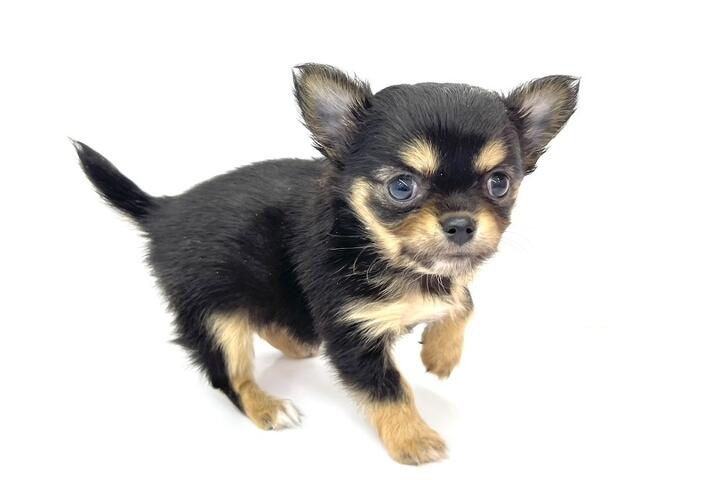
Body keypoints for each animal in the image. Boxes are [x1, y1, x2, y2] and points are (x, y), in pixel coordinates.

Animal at [75, 63, 578, 464]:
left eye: (499, 183)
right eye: (401, 187)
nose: (461, 225)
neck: (385, 254)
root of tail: (163, 210)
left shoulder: (440, 283)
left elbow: (464, 301)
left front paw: (441, 354)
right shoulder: (350, 332)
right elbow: (388, 389)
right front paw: (413, 440)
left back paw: (296, 344)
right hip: (215, 313)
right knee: (229, 374)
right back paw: (267, 406)